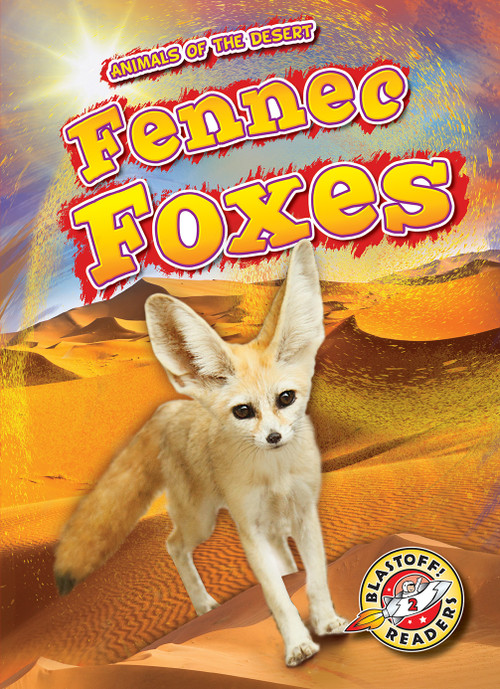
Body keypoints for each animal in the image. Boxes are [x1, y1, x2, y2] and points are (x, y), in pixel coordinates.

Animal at [54, 240, 347, 667]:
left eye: (285, 399)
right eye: (243, 411)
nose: (274, 437)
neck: (275, 474)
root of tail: (171, 407)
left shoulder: (304, 515)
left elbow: (318, 580)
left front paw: (326, 622)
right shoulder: (249, 530)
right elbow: (277, 596)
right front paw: (296, 644)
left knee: (283, 560)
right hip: (201, 521)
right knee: (173, 544)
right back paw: (204, 604)